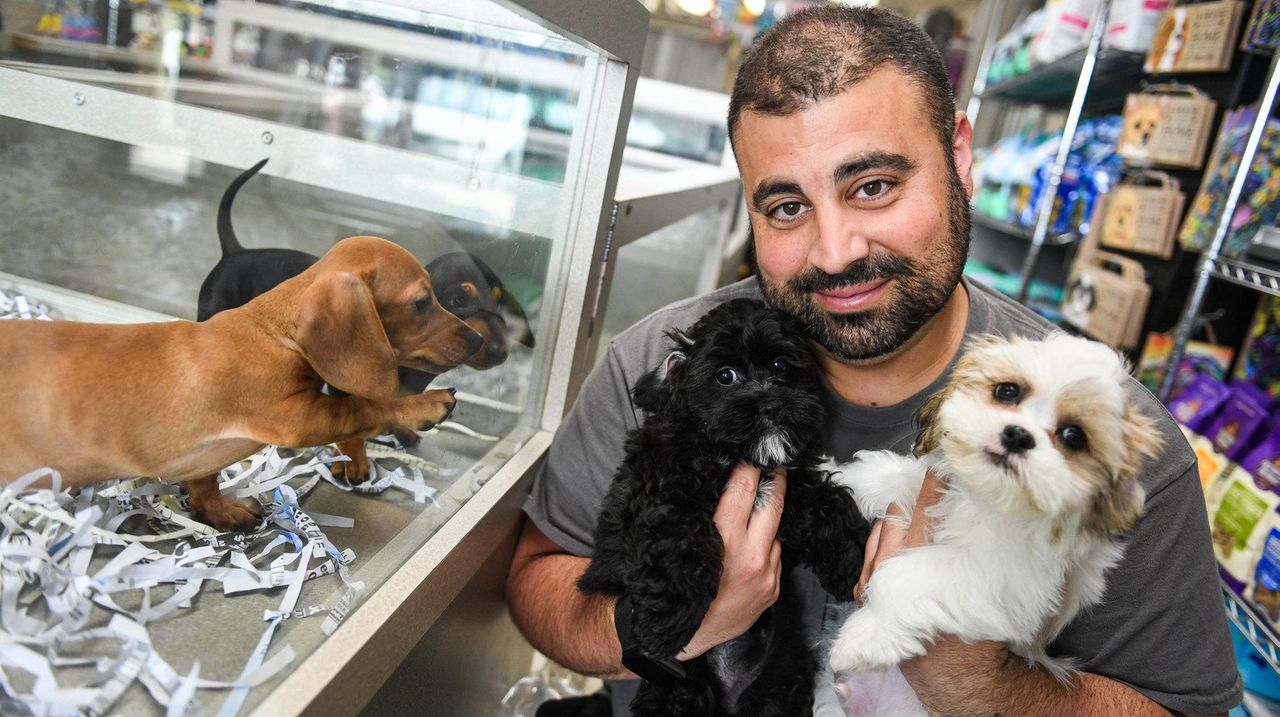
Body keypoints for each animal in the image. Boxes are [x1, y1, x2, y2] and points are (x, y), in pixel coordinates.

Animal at [0, 236, 481, 532]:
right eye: (421, 303)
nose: (478, 340)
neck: (273, 332)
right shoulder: (297, 418)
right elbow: (365, 407)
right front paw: (423, 405)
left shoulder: (199, 455)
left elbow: (204, 480)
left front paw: (220, 511)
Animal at [193, 158, 529, 481]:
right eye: (456, 301)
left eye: (499, 300)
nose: (488, 345)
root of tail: (234, 251)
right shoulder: (342, 388)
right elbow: (355, 420)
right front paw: (354, 461)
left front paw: (404, 428)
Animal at [578, 298, 870, 717]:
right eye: (725, 376)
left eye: (781, 367)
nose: (770, 404)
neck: (730, 454)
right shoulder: (656, 490)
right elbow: (677, 532)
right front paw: (668, 615)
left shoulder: (788, 491)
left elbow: (828, 505)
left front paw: (854, 561)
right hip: (676, 690)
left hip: (782, 675)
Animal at [824, 332, 1167, 681]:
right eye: (1007, 391)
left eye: (1073, 436)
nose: (1017, 435)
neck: (987, 496)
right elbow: (889, 475)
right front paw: (831, 473)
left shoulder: (1002, 578)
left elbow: (905, 576)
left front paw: (864, 637)